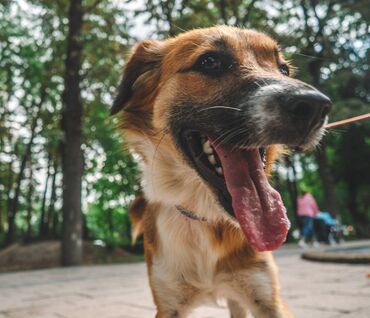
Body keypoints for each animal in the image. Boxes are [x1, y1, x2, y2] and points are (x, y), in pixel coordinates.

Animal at [112, 26, 330, 318]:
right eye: (210, 62)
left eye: (283, 69)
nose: (315, 106)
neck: (206, 216)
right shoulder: (168, 303)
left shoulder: (267, 297)